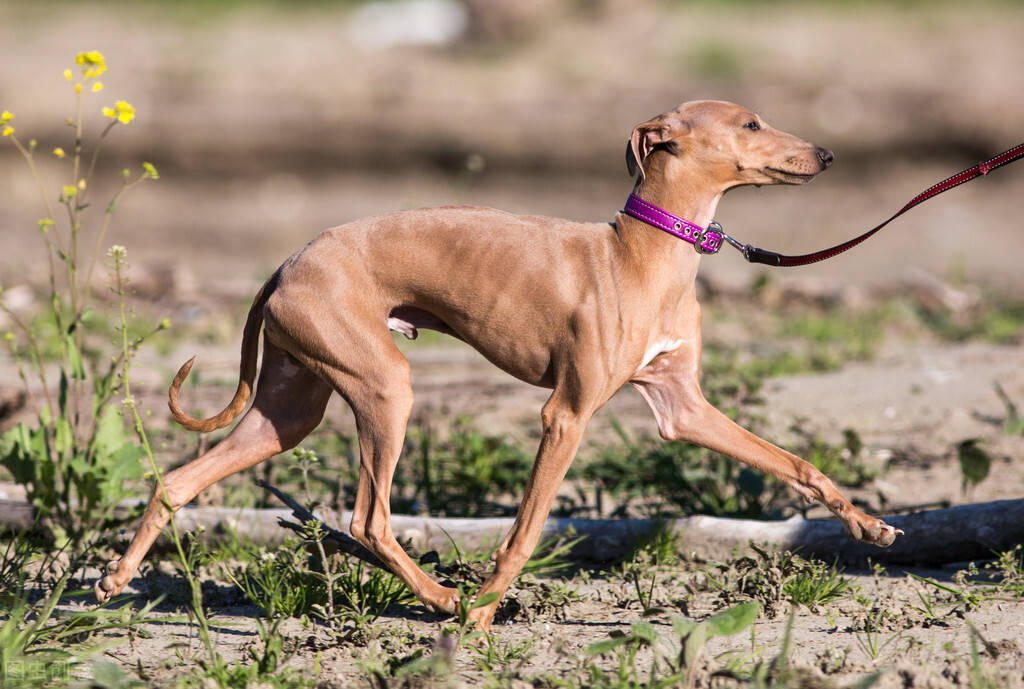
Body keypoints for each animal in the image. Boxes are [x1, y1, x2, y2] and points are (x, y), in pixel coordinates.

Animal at [94, 99, 897, 630]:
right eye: (752, 124)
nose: (826, 156)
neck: (641, 255)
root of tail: (288, 262)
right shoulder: (565, 415)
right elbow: (525, 530)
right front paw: (482, 614)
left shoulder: (683, 409)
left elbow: (795, 463)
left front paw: (868, 525)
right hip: (385, 389)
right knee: (369, 518)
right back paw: (446, 600)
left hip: (288, 410)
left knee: (177, 480)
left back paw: (113, 577)